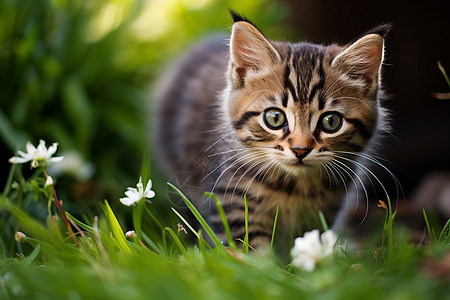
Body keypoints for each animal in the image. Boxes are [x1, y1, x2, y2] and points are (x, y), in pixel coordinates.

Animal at [156, 11, 392, 253]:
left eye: (330, 121)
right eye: (274, 117)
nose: (300, 150)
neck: (295, 187)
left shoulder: (323, 213)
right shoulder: (233, 201)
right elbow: (252, 250)